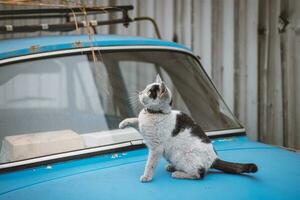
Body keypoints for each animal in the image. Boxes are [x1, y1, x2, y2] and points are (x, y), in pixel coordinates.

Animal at [118, 74, 256, 182]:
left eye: (149, 92)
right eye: (145, 88)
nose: (140, 92)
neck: (157, 113)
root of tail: (214, 158)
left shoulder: (156, 148)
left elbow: (150, 164)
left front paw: (147, 176)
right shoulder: (142, 126)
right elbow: (135, 120)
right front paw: (123, 123)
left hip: (182, 156)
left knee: (199, 174)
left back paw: (178, 173)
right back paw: (172, 167)